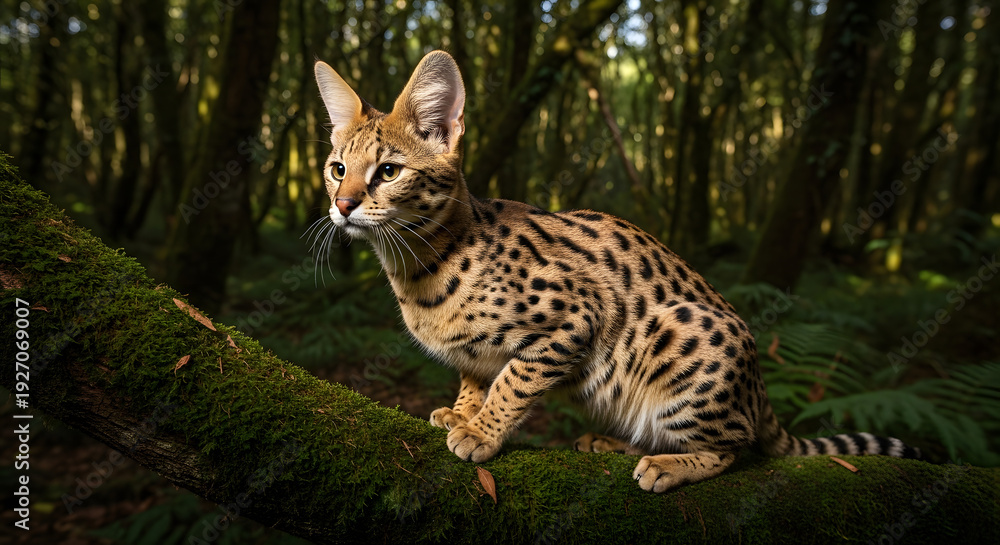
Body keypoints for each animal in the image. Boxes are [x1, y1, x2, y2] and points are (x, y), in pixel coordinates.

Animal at [312, 50, 922, 492]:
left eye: (388, 172)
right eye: (337, 168)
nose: (342, 205)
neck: (418, 269)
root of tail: (758, 385)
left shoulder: (573, 317)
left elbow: (512, 380)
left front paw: (481, 430)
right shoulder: (475, 352)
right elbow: (475, 375)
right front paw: (462, 412)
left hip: (685, 343)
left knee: (738, 443)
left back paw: (669, 464)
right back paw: (616, 445)